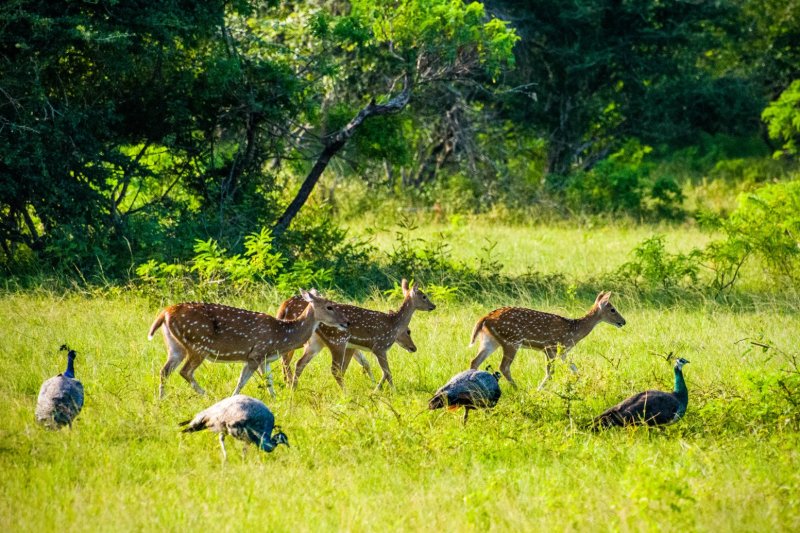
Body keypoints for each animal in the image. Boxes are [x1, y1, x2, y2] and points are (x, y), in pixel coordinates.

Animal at [147, 290, 349, 398]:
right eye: (330, 306)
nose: (346, 322)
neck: (282, 337)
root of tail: (165, 312)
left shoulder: (262, 358)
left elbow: (265, 381)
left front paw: (275, 399)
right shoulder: (256, 354)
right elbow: (245, 382)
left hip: (175, 347)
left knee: (165, 370)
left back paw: (161, 399)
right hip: (198, 344)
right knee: (185, 371)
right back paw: (206, 395)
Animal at [279, 279, 436, 390]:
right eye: (424, 296)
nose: (433, 306)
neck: (394, 323)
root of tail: (284, 307)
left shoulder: (355, 347)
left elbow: (374, 368)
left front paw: (376, 388)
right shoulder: (379, 346)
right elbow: (387, 372)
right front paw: (387, 391)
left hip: (316, 343)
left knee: (299, 363)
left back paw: (293, 388)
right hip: (337, 341)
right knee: (332, 369)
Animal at [469, 291, 626, 390]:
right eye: (612, 309)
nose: (623, 321)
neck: (574, 331)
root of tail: (485, 318)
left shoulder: (563, 351)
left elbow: (574, 368)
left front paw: (585, 384)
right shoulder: (550, 347)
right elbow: (551, 372)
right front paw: (539, 390)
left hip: (490, 341)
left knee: (475, 361)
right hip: (511, 341)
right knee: (503, 367)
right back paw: (518, 389)